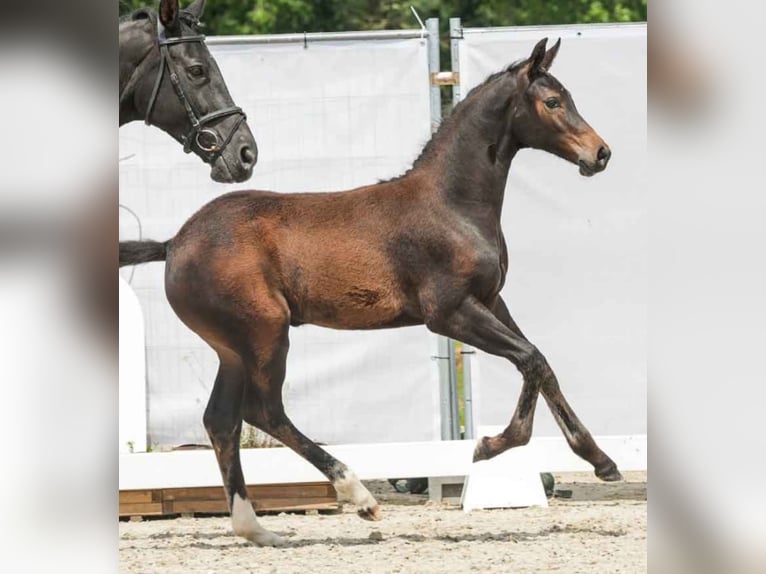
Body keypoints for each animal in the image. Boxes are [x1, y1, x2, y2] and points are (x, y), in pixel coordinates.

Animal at [121, 38, 624, 548]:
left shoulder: (491, 301)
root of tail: (175, 243)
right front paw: (490, 445)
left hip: (233, 348)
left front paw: (601, 460)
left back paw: (256, 529)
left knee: (222, 420)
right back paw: (358, 495)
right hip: (266, 333)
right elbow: (531, 359)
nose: (600, 153)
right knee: (263, 411)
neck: (452, 204)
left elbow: (541, 365)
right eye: (553, 102)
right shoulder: (449, 313)